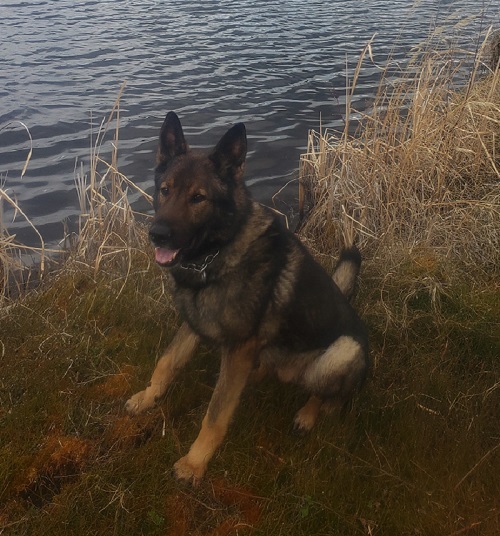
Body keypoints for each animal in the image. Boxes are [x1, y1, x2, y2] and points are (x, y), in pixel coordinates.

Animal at [125, 111, 368, 484]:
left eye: (198, 198)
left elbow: (215, 414)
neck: (215, 255)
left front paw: (194, 464)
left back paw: (308, 414)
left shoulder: (239, 345)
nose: (157, 235)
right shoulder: (196, 323)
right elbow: (167, 362)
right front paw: (147, 397)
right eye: (164, 191)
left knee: (330, 396)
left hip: (343, 351)